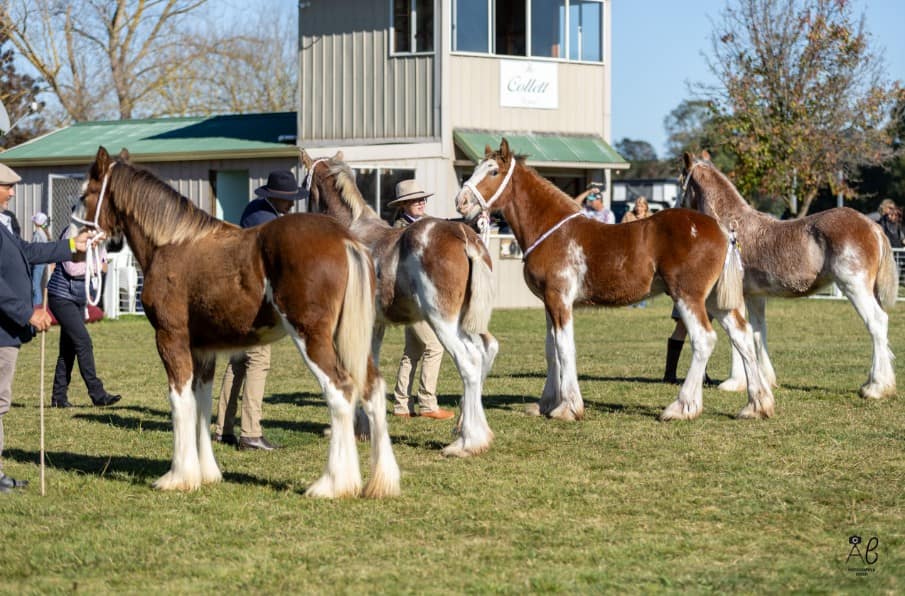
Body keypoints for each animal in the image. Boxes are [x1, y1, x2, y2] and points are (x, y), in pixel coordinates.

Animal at [77, 146, 400, 498]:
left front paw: (178, 476)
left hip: (312, 338)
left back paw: (331, 484)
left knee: (340, 391)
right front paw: (206, 473)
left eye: (85, 193)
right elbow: (202, 404)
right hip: (350, 338)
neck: (171, 243)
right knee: (372, 389)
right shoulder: (203, 350)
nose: (76, 235)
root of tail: (344, 239)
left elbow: (179, 401)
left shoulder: (170, 339)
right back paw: (381, 482)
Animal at [301, 150, 499, 457]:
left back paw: (467, 442)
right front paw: (363, 428)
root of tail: (464, 235)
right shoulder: (374, 325)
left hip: (443, 323)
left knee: (469, 361)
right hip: (467, 322)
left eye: (303, 184)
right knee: (486, 351)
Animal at [455, 139, 775, 421]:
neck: (553, 230)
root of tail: (722, 230)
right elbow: (550, 349)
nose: (461, 202)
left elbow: (564, 347)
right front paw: (546, 403)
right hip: (715, 300)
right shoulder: (548, 302)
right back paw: (756, 405)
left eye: (493, 171)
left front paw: (568, 408)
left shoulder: (560, 299)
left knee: (704, 339)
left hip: (688, 296)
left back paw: (681, 407)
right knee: (742, 336)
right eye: (474, 169)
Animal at [681, 151, 898, 399]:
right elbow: (758, 331)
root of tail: (873, 226)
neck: (733, 228)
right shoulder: (755, 296)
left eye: (680, 180)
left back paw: (876, 387)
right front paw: (764, 378)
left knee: (877, 323)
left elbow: (737, 333)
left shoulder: (734, 297)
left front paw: (734, 382)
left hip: (855, 288)